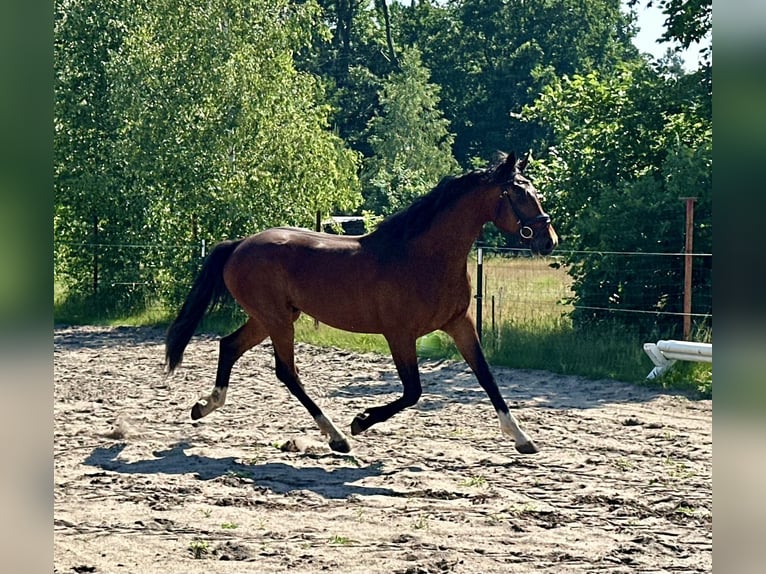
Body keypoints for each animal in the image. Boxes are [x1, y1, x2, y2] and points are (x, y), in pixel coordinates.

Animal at [165, 151, 558, 454]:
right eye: (518, 194)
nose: (548, 239)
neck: (423, 257)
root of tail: (239, 245)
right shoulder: (399, 335)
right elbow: (412, 392)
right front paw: (361, 420)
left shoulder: (460, 323)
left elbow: (487, 377)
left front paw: (522, 438)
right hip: (277, 320)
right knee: (286, 372)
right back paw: (338, 437)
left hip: (269, 318)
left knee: (229, 346)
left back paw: (204, 407)